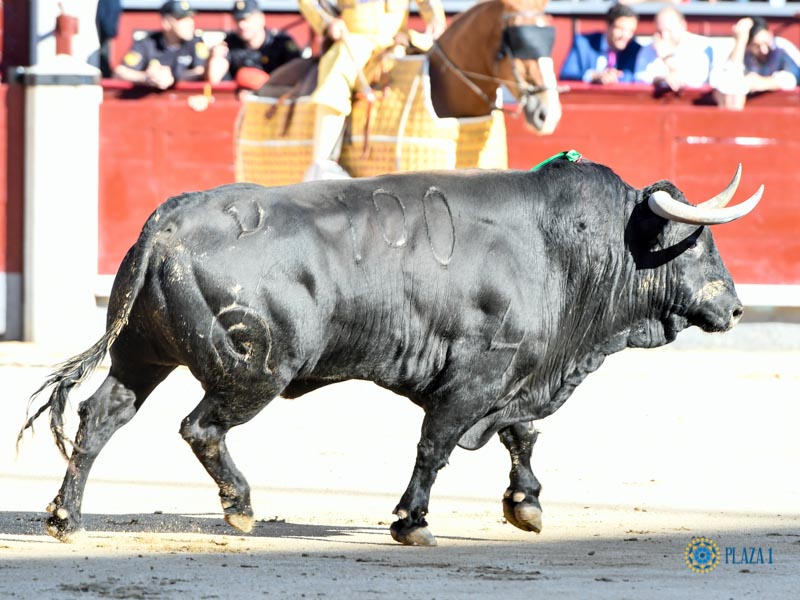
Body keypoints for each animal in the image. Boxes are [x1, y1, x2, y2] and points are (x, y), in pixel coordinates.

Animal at [18, 157, 760, 548]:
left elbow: (521, 435)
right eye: (699, 243)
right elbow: (436, 445)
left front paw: (526, 505)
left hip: (142, 354)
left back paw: (65, 518)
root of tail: (169, 219)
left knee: (101, 418)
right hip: (254, 370)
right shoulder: (477, 376)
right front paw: (412, 520)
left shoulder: (519, 372)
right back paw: (241, 506)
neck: (564, 247)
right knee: (200, 427)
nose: (735, 309)